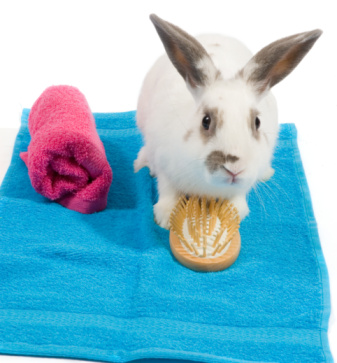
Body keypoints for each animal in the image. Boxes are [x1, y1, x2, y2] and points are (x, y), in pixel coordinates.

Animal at [134, 14, 320, 230]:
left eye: (257, 122)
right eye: (206, 121)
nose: (234, 169)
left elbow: (237, 198)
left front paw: (234, 214)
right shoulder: (164, 164)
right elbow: (167, 189)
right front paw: (165, 217)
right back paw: (140, 163)